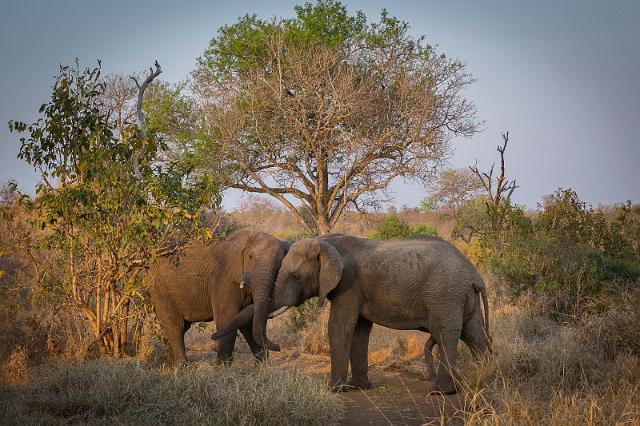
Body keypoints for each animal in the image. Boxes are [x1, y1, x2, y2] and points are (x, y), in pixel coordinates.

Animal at [146, 230, 288, 366]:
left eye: (280, 262)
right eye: (250, 257)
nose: (279, 347)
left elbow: (246, 319)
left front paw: (263, 366)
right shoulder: (223, 279)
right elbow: (227, 317)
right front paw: (222, 367)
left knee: (182, 327)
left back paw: (171, 366)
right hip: (159, 287)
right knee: (175, 326)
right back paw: (182, 367)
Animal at [214, 235, 490, 394]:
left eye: (295, 276)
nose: (279, 346)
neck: (326, 243)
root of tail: (474, 275)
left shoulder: (348, 284)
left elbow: (339, 327)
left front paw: (335, 389)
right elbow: (358, 331)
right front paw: (360, 387)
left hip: (445, 295)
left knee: (446, 334)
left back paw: (442, 392)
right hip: (461, 297)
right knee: (474, 335)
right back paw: (483, 381)